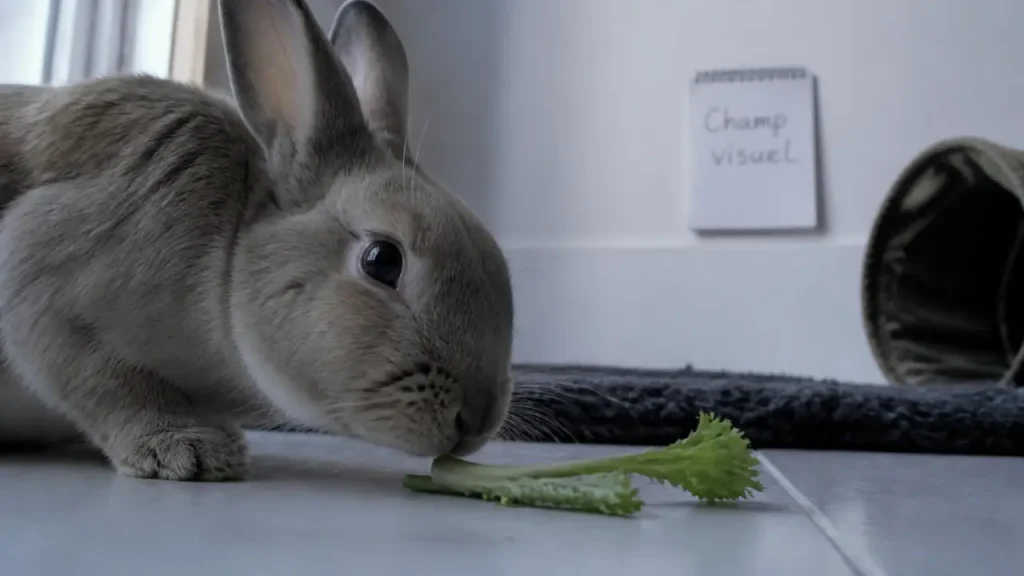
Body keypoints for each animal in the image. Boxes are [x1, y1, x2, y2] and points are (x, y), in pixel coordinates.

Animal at [0, 0, 514, 481]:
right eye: (382, 260)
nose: (477, 419)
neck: (227, 252)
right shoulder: (44, 279)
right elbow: (111, 383)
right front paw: (188, 449)